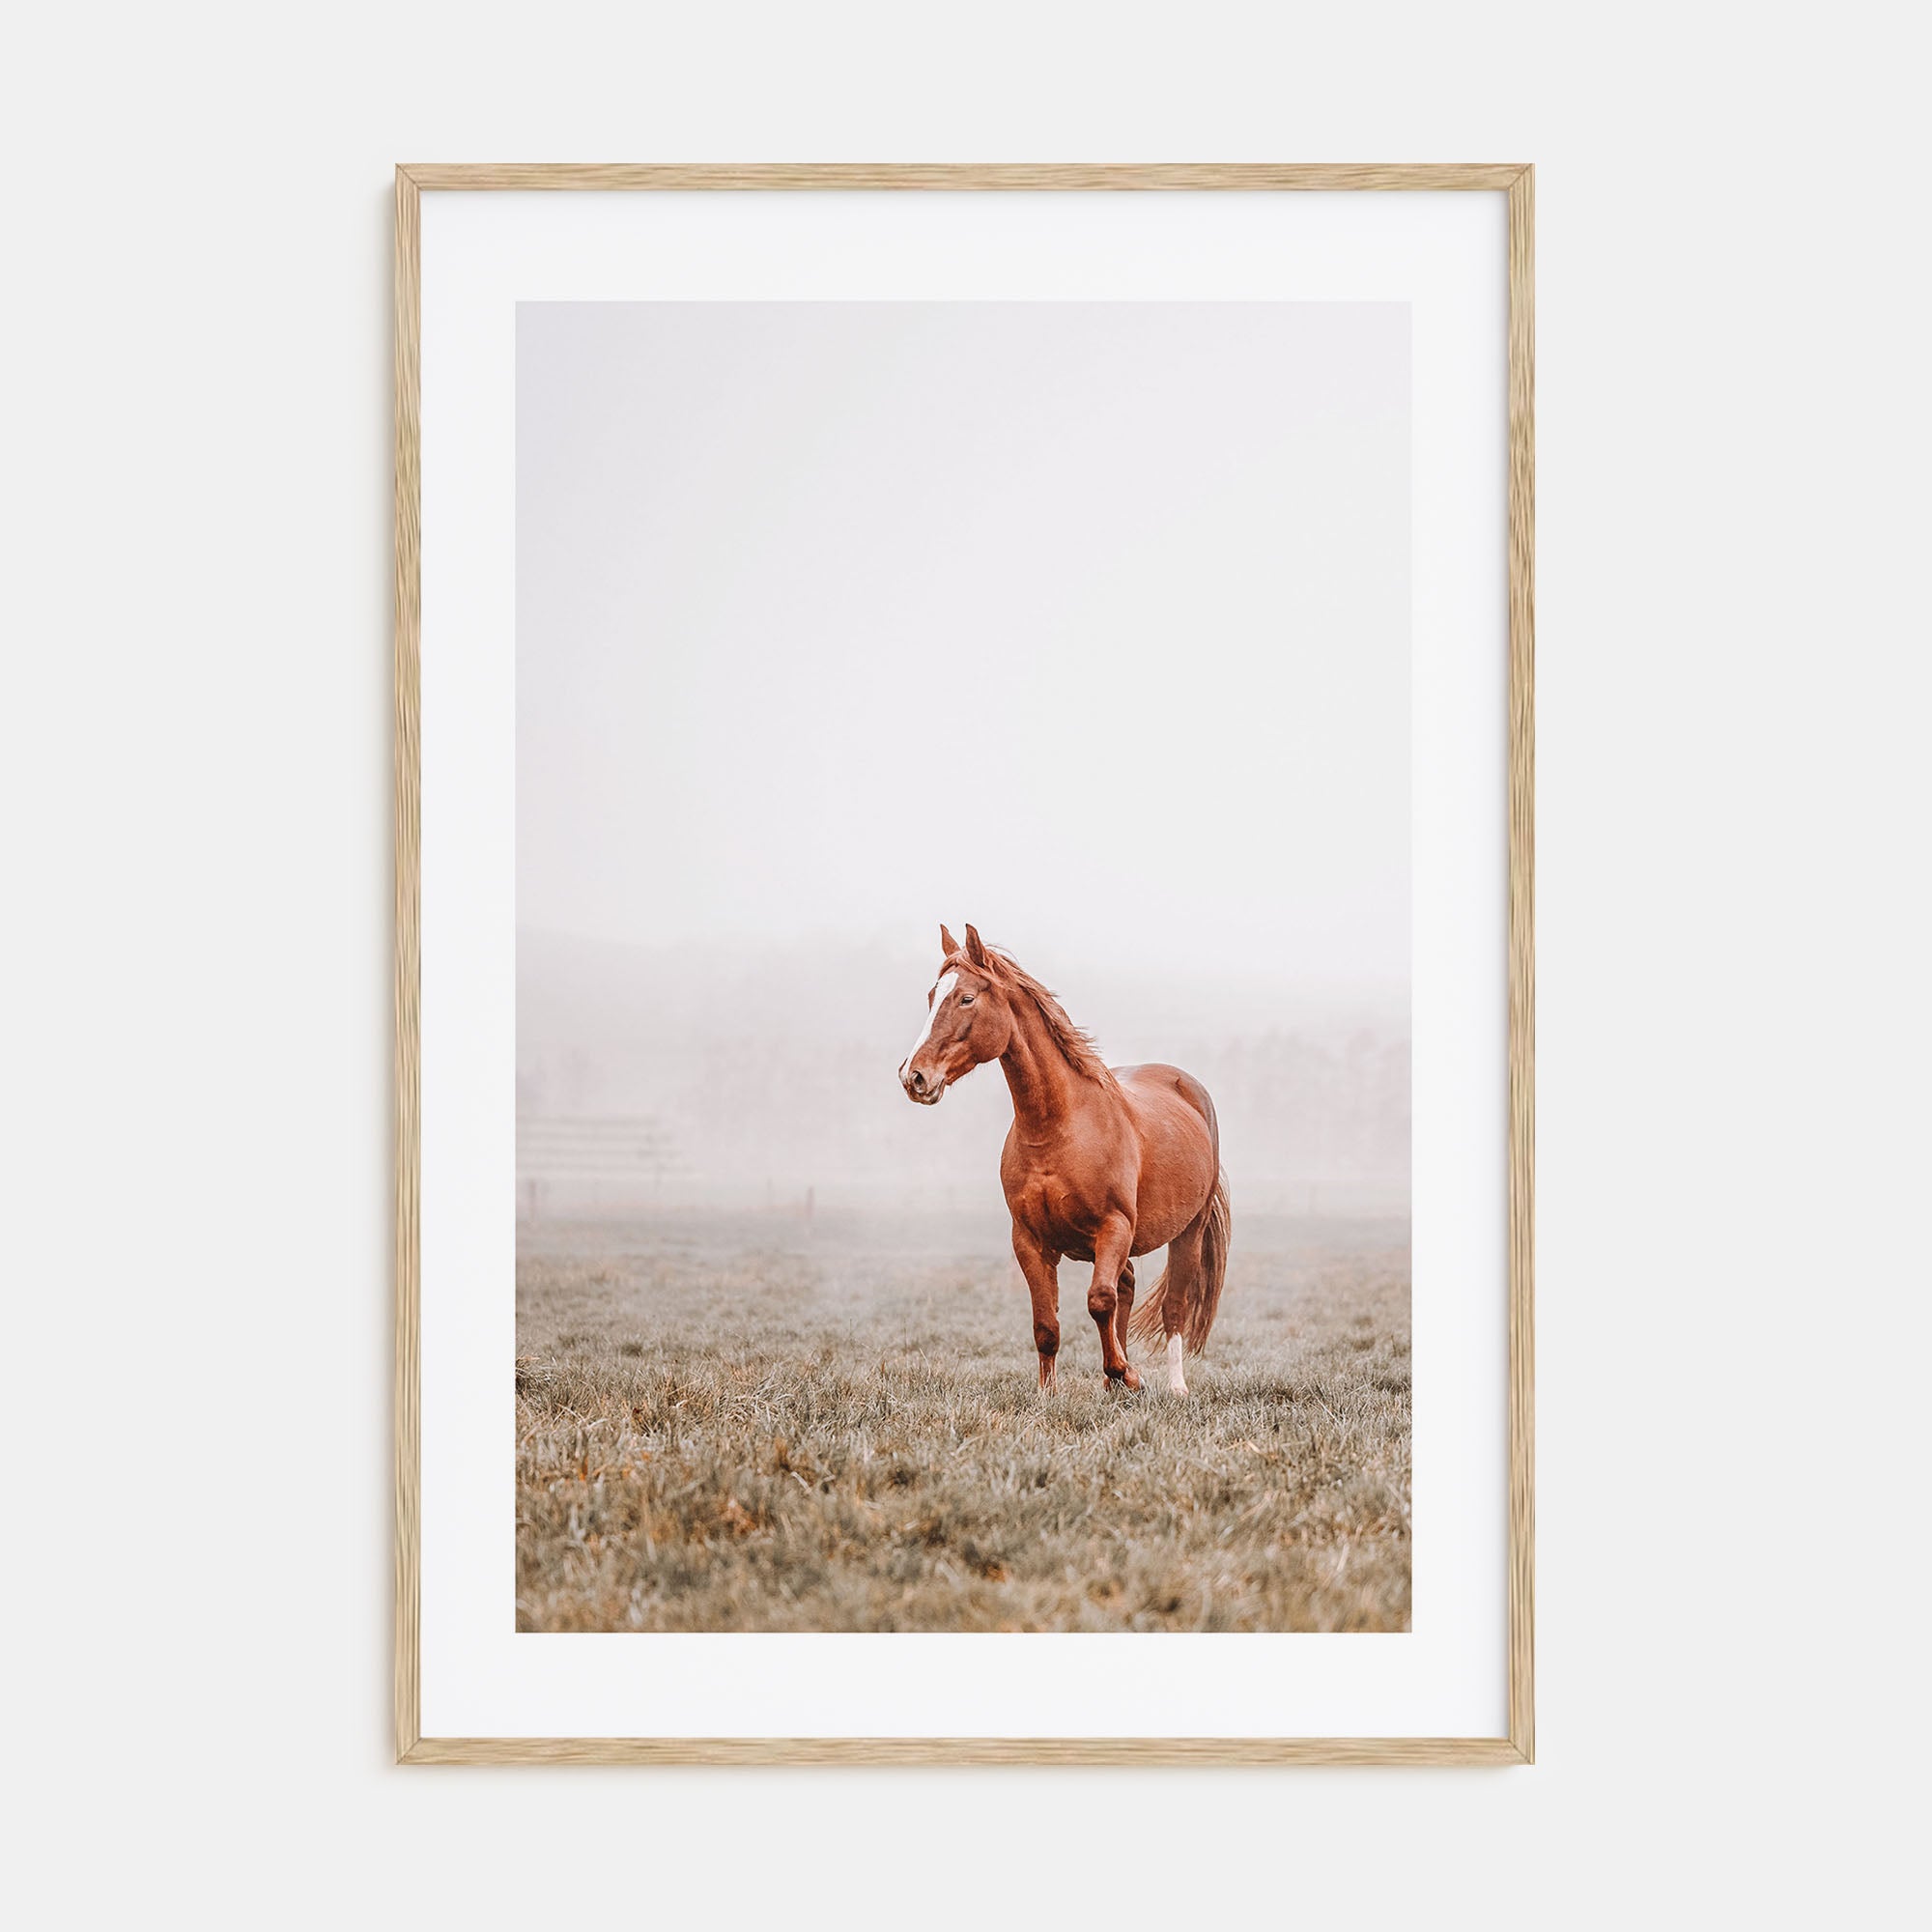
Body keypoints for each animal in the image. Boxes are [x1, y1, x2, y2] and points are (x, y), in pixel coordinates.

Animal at [898, 924, 1231, 1396]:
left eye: (966, 998)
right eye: (932, 995)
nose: (914, 1077)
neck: (1057, 1131)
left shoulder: (1114, 1226)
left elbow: (1099, 1300)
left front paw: (1129, 1374)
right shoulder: (1029, 1241)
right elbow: (1047, 1325)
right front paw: (1050, 1393)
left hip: (1188, 1230)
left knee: (1173, 1305)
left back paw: (1173, 1387)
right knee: (1127, 1285)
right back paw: (1114, 1384)